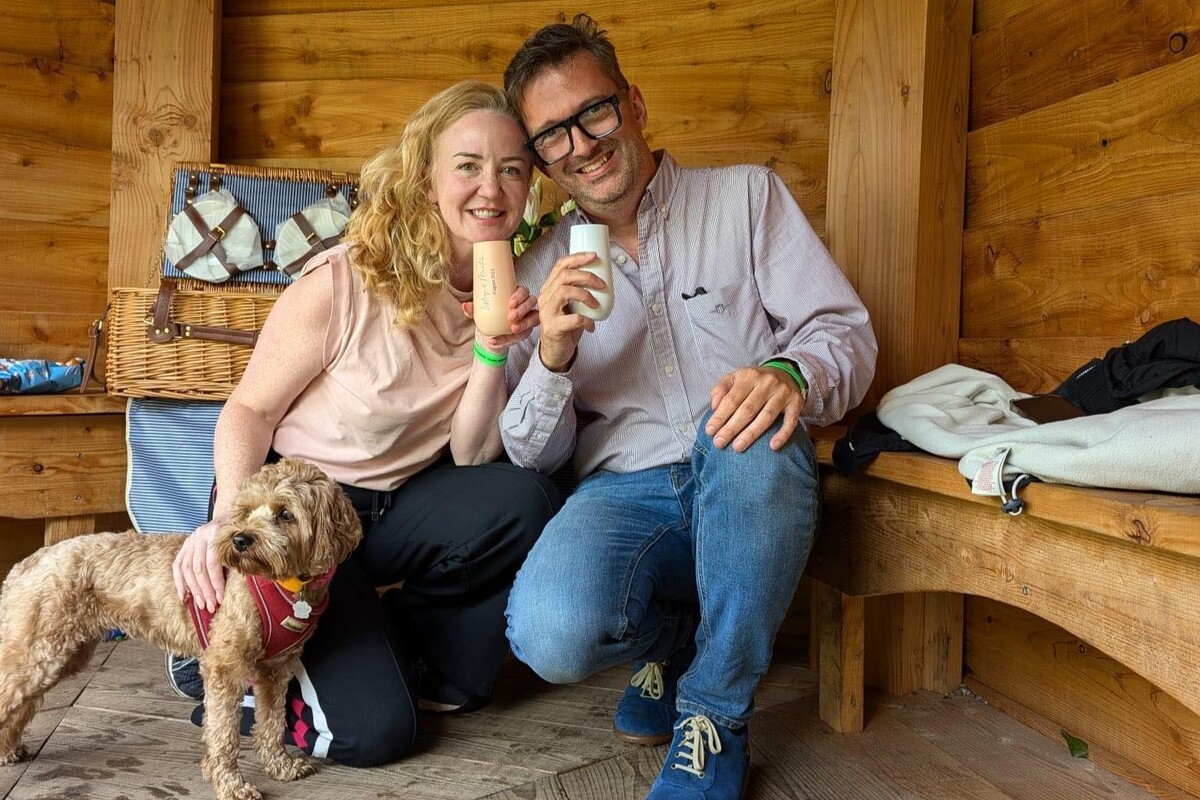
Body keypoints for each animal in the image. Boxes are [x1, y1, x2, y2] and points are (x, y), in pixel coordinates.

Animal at [0, 460, 360, 800]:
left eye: (285, 514)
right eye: (245, 511)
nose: (240, 539)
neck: (285, 584)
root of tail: (26, 563)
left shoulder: (275, 670)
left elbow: (271, 724)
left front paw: (280, 766)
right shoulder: (223, 668)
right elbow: (223, 735)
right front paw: (231, 785)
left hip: (63, 653)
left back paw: (8, 748)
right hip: (39, 654)